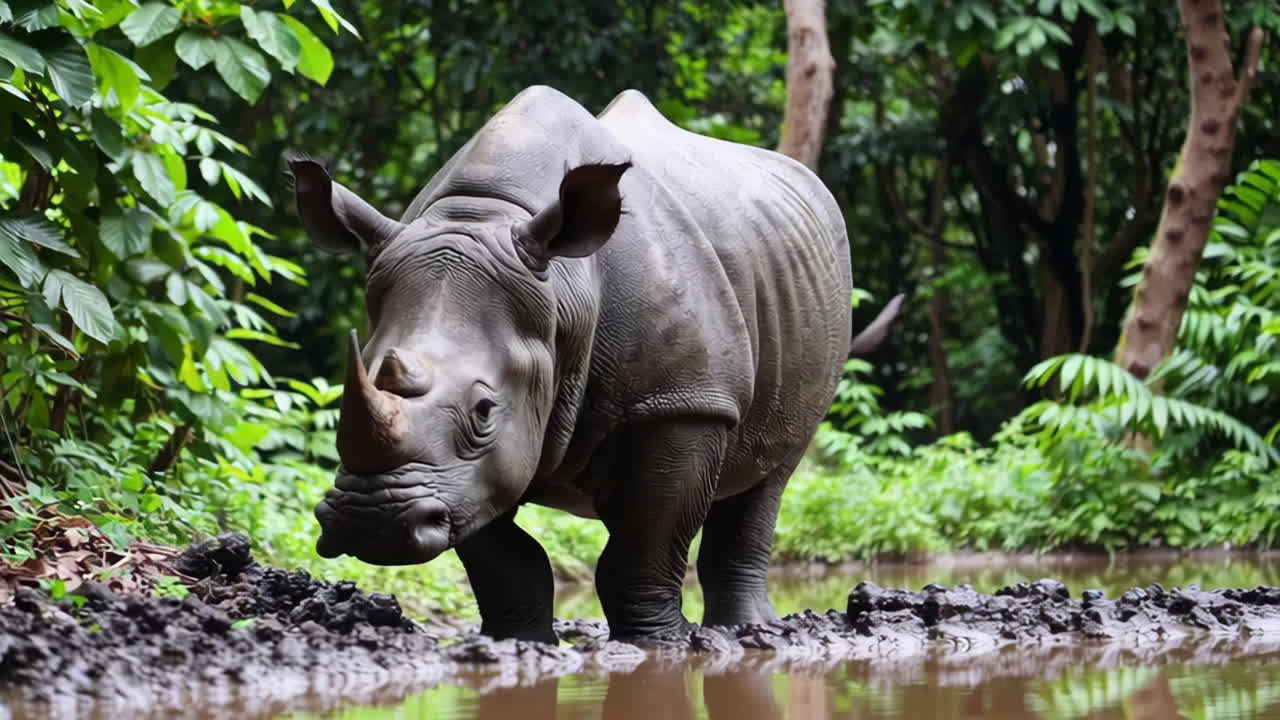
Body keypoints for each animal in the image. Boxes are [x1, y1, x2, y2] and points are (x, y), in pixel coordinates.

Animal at [289, 86, 901, 644]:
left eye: (484, 410)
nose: (372, 523)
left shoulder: (683, 402)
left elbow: (641, 551)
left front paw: (659, 646)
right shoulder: (462, 475)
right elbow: (504, 554)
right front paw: (520, 644)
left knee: (770, 474)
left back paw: (749, 632)